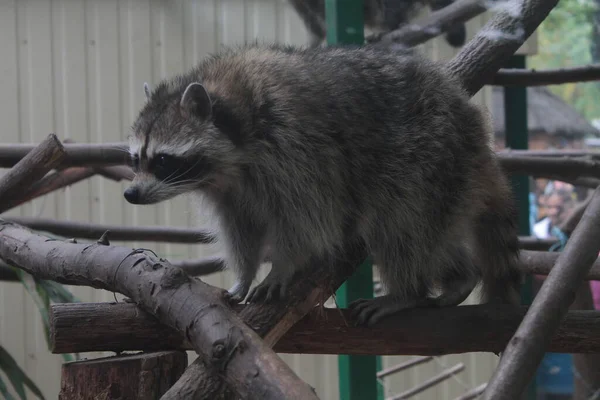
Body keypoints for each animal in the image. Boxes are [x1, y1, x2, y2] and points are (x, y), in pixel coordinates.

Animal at [124, 44, 524, 324]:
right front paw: (244, 273)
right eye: (134, 159)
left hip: (429, 156)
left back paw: (407, 291)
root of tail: (474, 129)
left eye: (162, 161)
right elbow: (242, 229)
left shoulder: (298, 149)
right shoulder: (230, 189)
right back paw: (461, 276)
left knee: (402, 226)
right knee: (427, 232)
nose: (131, 194)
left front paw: (282, 264)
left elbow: (305, 220)